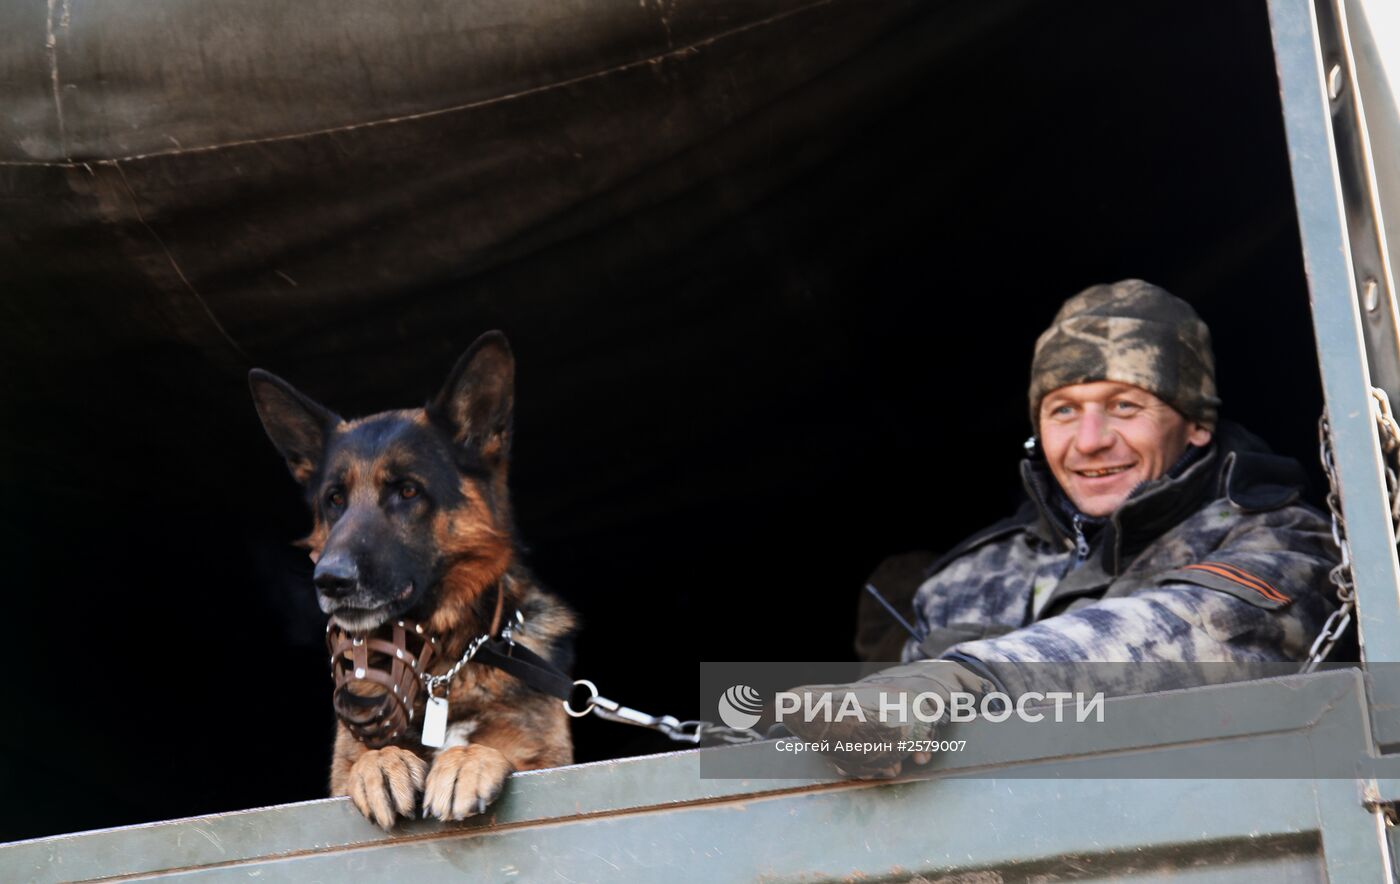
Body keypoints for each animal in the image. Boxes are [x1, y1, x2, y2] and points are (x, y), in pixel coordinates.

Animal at [250, 332, 574, 829]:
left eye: (407, 491)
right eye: (335, 499)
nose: (330, 580)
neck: (444, 667)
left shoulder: (552, 764)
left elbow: (495, 748)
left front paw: (465, 760)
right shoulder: (335, 782)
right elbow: (364, 759)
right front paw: (382, 764)